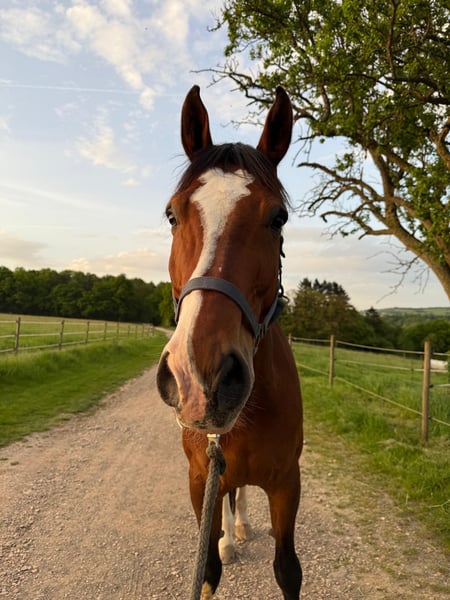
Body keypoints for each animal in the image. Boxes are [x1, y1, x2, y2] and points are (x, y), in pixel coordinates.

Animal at [156, 85, 303, 600]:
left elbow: (287, 570)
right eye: (172, 214)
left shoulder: (288, 484)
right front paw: (220, 546)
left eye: (278, 217)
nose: (202, 378)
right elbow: (208, 571)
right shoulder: (200, 480)